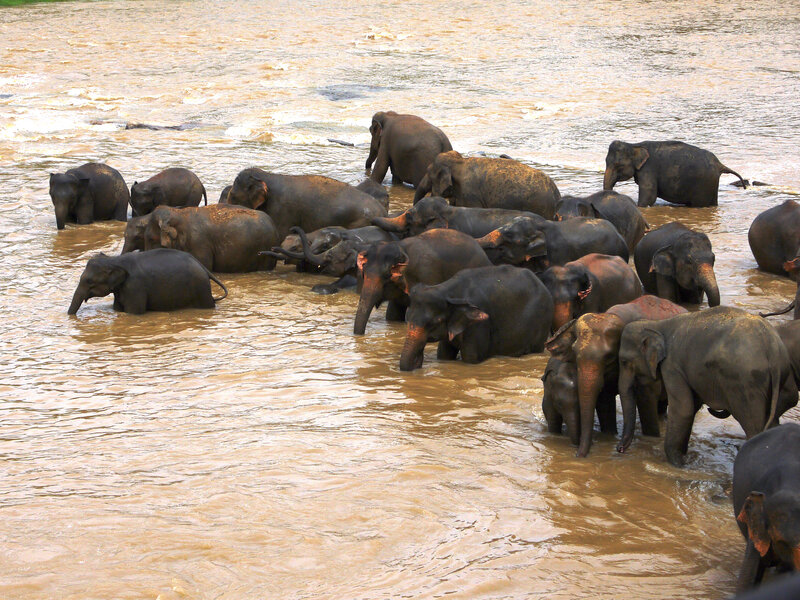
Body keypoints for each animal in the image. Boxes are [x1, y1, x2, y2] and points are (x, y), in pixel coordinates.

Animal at [68, 248, 227, 315]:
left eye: (89, 281)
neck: (114, 260)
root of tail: (202, 267)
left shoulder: (135, 286)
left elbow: (133, 313)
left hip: (201, 288)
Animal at [226, 168, 388, 240]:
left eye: (233, 196)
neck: (267, 175)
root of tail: (383, 211)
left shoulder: (282, 211)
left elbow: (282, 234)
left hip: (360, 222)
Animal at [399, 265, 553, 370]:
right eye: (407, 318)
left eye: (434, 323)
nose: (418, 361)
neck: (447, 290)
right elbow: (443, 354)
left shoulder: (479, 324)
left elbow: (471, 357)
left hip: (541, 323)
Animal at [603, 140, 747, 207]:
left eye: (618, 165)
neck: (634, 145)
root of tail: (719, 164)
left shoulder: (648, 169)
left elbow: (649, 195)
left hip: (703, 184)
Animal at [616, 307, 798, 466]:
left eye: (624, 362)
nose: (619, 449)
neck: (657, 324)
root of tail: (772, 349)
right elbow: (692, 407)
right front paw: (684, 458)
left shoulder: (672, 366)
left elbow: (684, 409)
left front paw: (677, 464)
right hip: (778, 377)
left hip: (746, 383)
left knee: (753, 425)